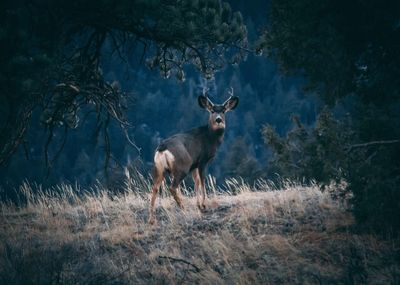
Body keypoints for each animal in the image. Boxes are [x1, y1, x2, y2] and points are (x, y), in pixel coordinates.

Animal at [149, 89, 238, 224]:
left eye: (223, 110)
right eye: (212, 111)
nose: (218, 120)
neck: (210, 137)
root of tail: (162, 148)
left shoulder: (194, 165)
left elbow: (196, 183)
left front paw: (199, 205)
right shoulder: (202, 161)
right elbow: (202, 182)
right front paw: (204, 205)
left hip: (159, 169)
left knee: (154, 188)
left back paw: (151, 219)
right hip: (181, 167)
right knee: (172, 187)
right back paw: (183, 208)